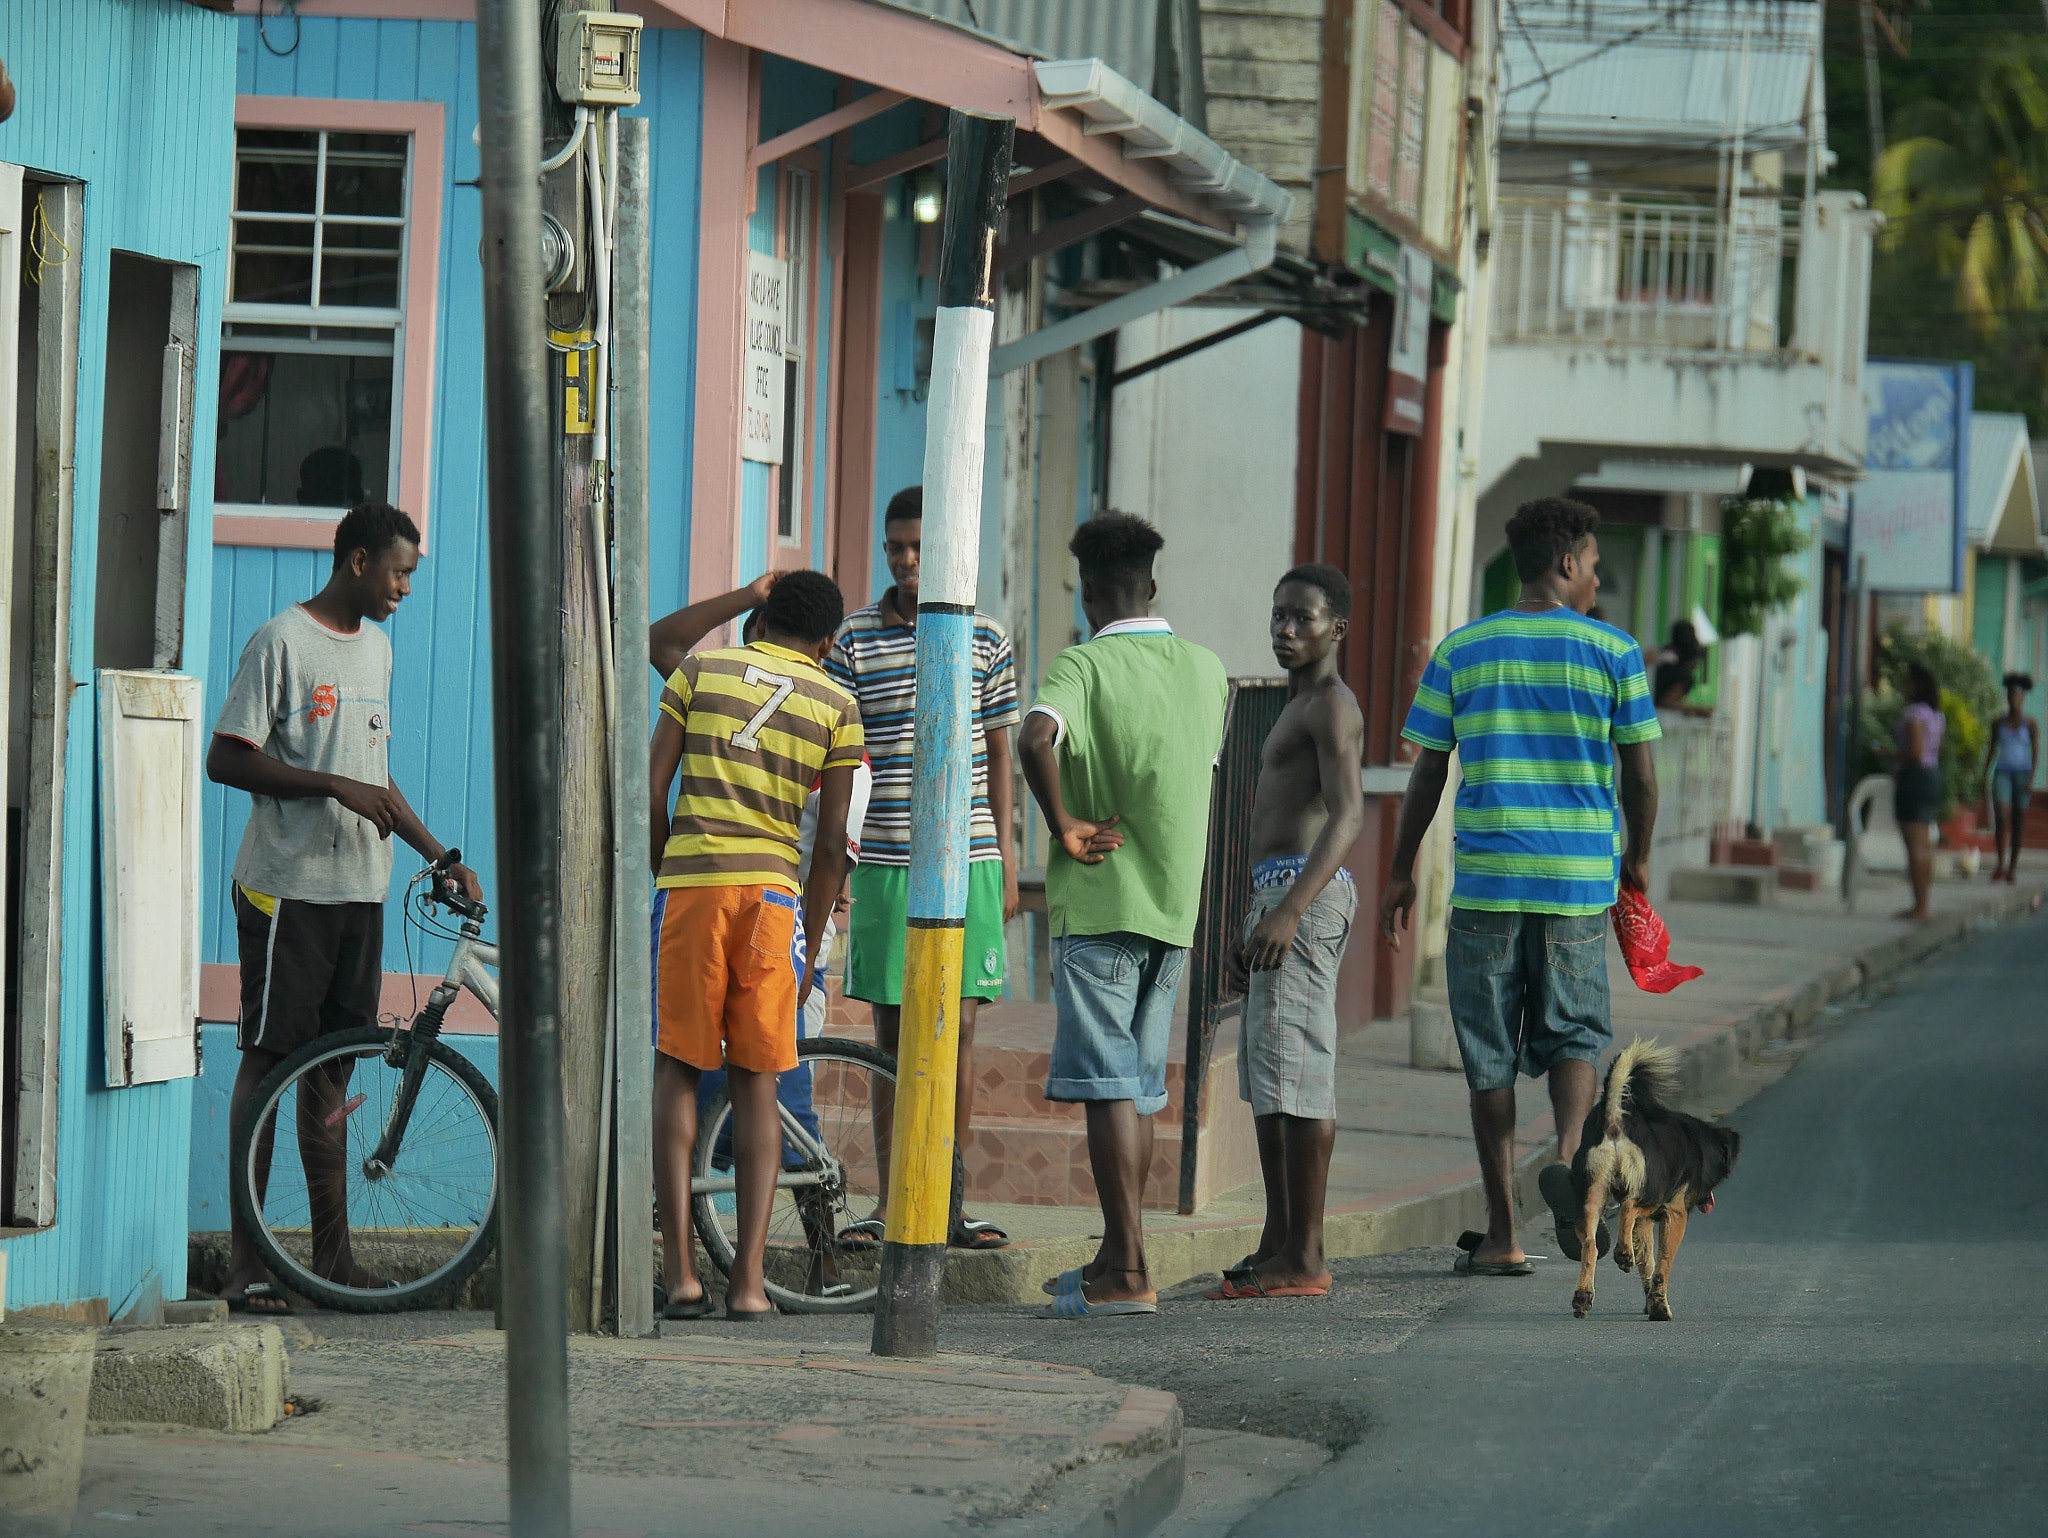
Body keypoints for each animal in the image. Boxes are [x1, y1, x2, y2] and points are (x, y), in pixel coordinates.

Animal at [1572, 1040, 1736, 1318]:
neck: (1698, 1143)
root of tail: (1615, 1117)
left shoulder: (1646, 1223)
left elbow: (1647, 1264)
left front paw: (1651, 1301)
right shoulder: (1675, 1214)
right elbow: (1662, 1265)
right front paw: (1659, 1307)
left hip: (1593, 1192)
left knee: (1591, 1244)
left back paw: (1583, 1295)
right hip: (1652, 1191)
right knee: (1628, 1207)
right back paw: (1622, 1254)